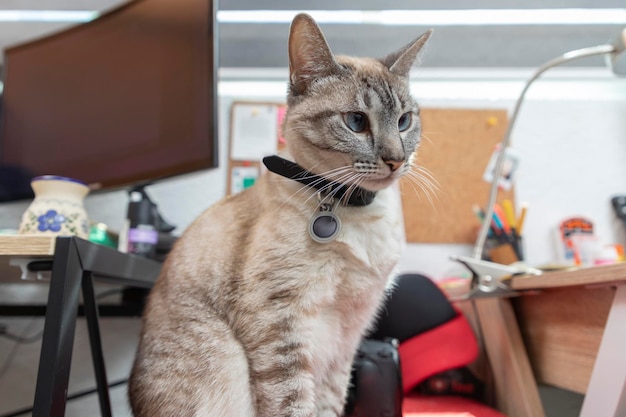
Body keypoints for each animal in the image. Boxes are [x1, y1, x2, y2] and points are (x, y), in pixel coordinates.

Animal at [127, 13, 428, 416]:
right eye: (355, 121)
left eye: (404, 121)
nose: (396, 160)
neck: (355, 209)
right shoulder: (280, 322)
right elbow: (293, 403)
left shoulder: (347, 338)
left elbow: (329, 405)